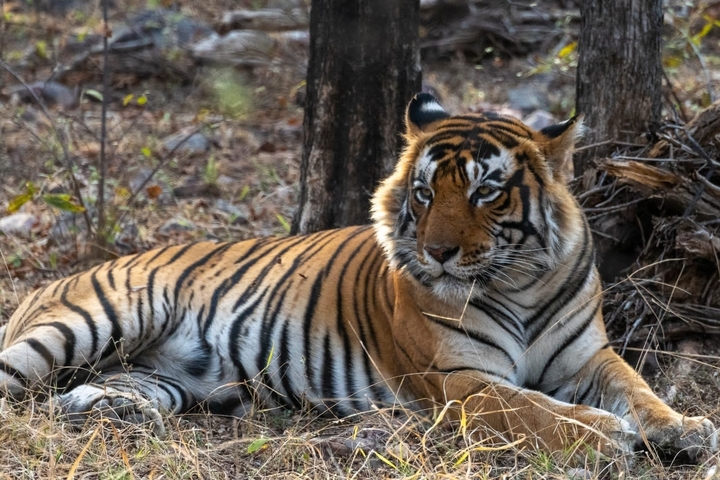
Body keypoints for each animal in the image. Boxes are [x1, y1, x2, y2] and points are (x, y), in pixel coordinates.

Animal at [0, 93, 716, 459]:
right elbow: (532, 409)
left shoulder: (588, 356)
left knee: (90, 394)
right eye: (425, 193)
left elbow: (639, 390)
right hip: (93, 321)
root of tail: (48, 282)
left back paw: (106, 415)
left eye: (485, 192)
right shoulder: (457, 379)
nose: (438, 253)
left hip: (160, 378)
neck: (521, 281)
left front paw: (684, 429)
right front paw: (604, 434)